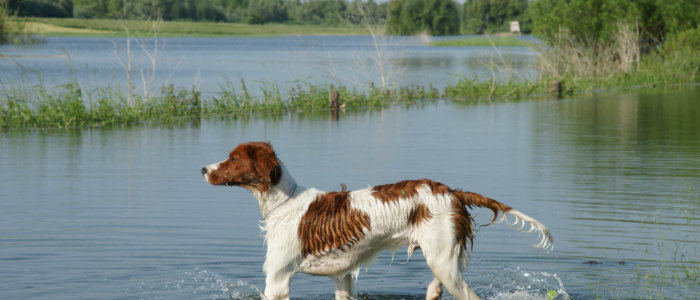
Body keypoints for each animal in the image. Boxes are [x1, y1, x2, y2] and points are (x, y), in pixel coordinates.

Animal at [201, 142, 552, 298]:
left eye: (233, 158)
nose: (203, 169)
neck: (285, 202)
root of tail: (452, 191)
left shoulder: (277, 278)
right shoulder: (342, 277)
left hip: (443, 263)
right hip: (445, 262)